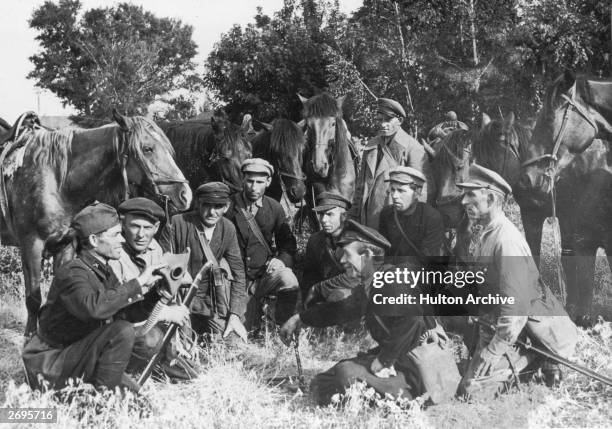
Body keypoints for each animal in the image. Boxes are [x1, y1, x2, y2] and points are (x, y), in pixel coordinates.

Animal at [1, 108, 194, 336]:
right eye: (147, 148)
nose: (185, 195)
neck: (56, 179)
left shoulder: (64, 245)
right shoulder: (31, 244)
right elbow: (33, 299)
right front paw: (30, 337)